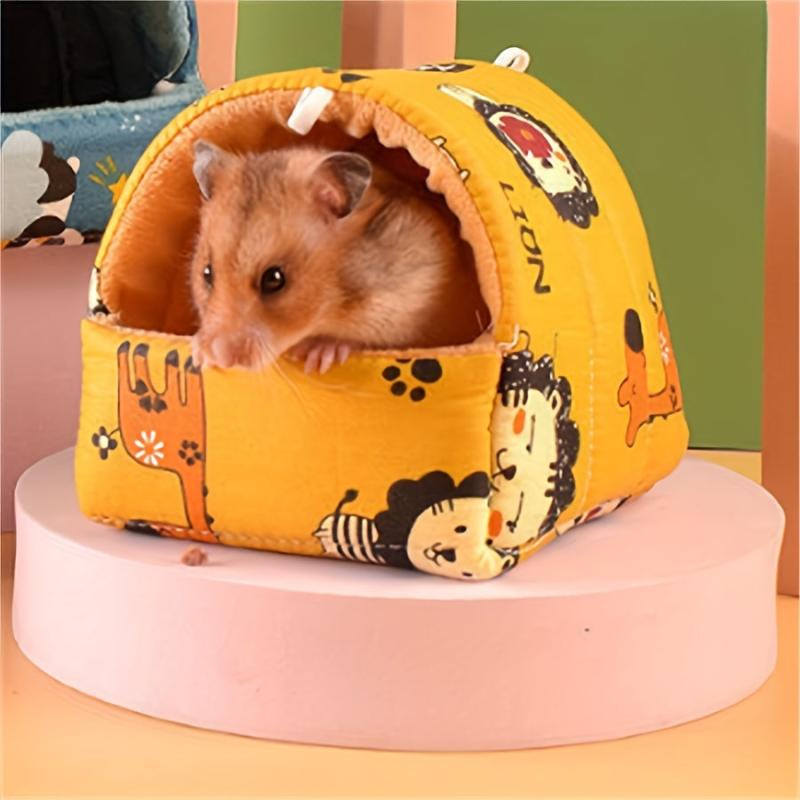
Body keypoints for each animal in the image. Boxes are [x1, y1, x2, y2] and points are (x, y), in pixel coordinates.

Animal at [189, 141, 488, 373]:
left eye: (274, 279)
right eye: (207, 273)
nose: (221, 359)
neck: (337, 294)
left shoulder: (413, 296)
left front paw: (317, 355)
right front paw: (198, 352)